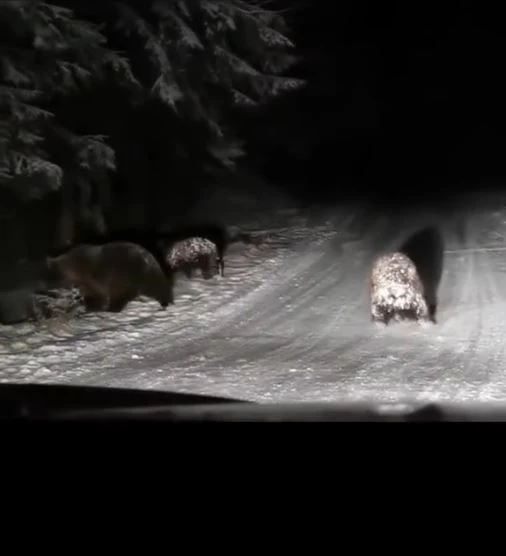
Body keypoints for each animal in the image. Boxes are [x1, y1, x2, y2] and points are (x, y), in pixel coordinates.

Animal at [40, 242, 174, 314]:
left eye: (49, 277)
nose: (44, 288)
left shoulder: (96, 277)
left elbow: (98, 294)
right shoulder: (87, 282)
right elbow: (93, 295)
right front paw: (89, 308)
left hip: (131, 273)